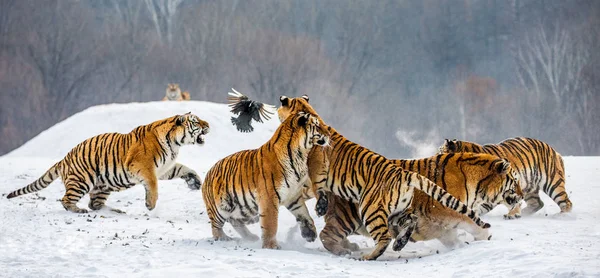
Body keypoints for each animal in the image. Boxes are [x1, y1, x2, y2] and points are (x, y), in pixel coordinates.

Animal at [5, 112, 209, 213]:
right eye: (196, 122)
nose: (208, 125)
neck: (174, 143)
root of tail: (64, 159)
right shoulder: (144, 167)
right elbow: (153, 184)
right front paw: (150, 205)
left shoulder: (164, 167)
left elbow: (184, 169)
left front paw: (195, 181)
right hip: (82, 180)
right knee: (66, 200)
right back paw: (78, 210)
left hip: (103, 186)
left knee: (95, 204)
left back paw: (115, 211)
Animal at [204, 112, 330, 249]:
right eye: (317, 125)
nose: (329, 132)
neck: (301, 155)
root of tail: (208, 173)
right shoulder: (269, 196)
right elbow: (271, 223)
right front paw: (271, 246)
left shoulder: (293, 196)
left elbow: (304, 214)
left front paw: (310, 233)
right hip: (221, 208)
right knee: (215, 226)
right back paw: (223, 238)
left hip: (245, 208)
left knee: (235, 221)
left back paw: (251, 237)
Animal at [316, 153, 524, 255]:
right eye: (515, 181)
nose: (522, 195)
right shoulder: (447, 211)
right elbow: (472, 223)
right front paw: (485, 237)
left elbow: (451, 235)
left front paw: (458, 245)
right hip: (348, 216)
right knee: (326, 234)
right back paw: (343, 251)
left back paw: (351, 247)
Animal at [440, 137, 572, 217]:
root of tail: (554, 150)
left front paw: (512, 214)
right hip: (529, 188)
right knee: (537, 203)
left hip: (553, 183)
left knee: (566, 202)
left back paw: (562, 216)